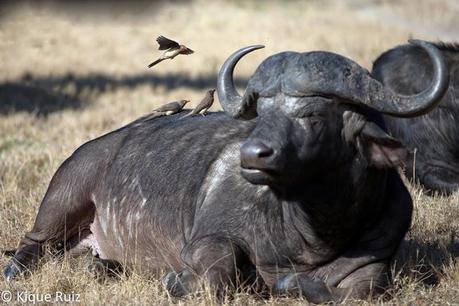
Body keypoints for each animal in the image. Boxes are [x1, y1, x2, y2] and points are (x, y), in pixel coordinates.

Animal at [3, 39, 450, 302]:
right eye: (263, 110)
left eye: (312, 114)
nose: (254, 155)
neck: (312, 230)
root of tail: (94, 145)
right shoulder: (206, 242)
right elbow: (221, 274)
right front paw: (177, 282)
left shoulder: (373, 265)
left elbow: (360, 290)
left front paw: (292, 284)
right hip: (62, 202)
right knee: (31, 243)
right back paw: (16, 269)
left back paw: (101, 266)